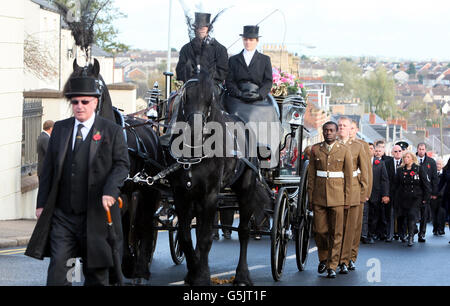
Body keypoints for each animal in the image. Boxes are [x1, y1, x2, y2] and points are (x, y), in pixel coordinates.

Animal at [166, 70, 268, 286]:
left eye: (210, 99)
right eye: (185, 96)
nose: (195, 130)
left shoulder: (210, 195)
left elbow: (205, 238)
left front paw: (202, 276)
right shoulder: (181, 195)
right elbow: (186, 236)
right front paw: (193, 271)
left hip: (246, 189)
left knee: (244, 231)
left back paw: (242, 275)